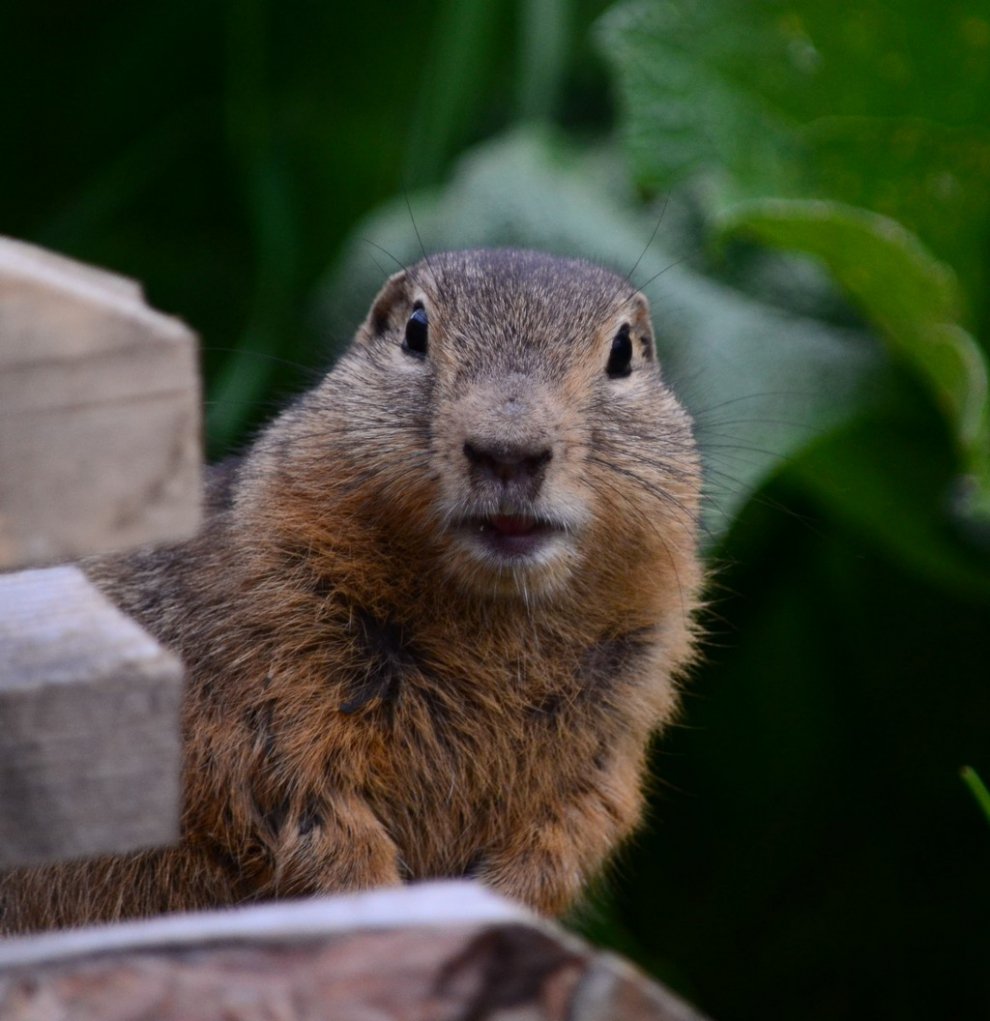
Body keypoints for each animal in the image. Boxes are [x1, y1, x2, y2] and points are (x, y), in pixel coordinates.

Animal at [0, 249, 702, 935]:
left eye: (622, 353)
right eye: (416, 331)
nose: (508, 452)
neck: (493, 614)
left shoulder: (615, 728)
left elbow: (575, 829)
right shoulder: (265, 677)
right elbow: (300, 803)